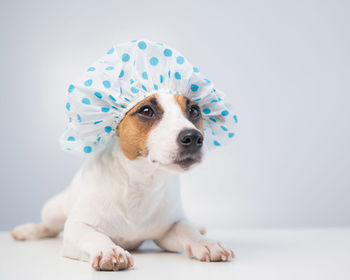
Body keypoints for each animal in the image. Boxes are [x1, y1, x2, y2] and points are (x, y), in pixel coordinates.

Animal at [10, 92, 234, 272]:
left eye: (194, 110)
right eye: (146, 110)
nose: (193, 137)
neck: (140, 183)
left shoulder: (169, 230)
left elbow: (187, 231)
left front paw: (206, 243)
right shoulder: (77, 227)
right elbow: (93, 235)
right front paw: (108, 249)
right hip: (53, 210)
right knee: (48, 226)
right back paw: (28, 230)